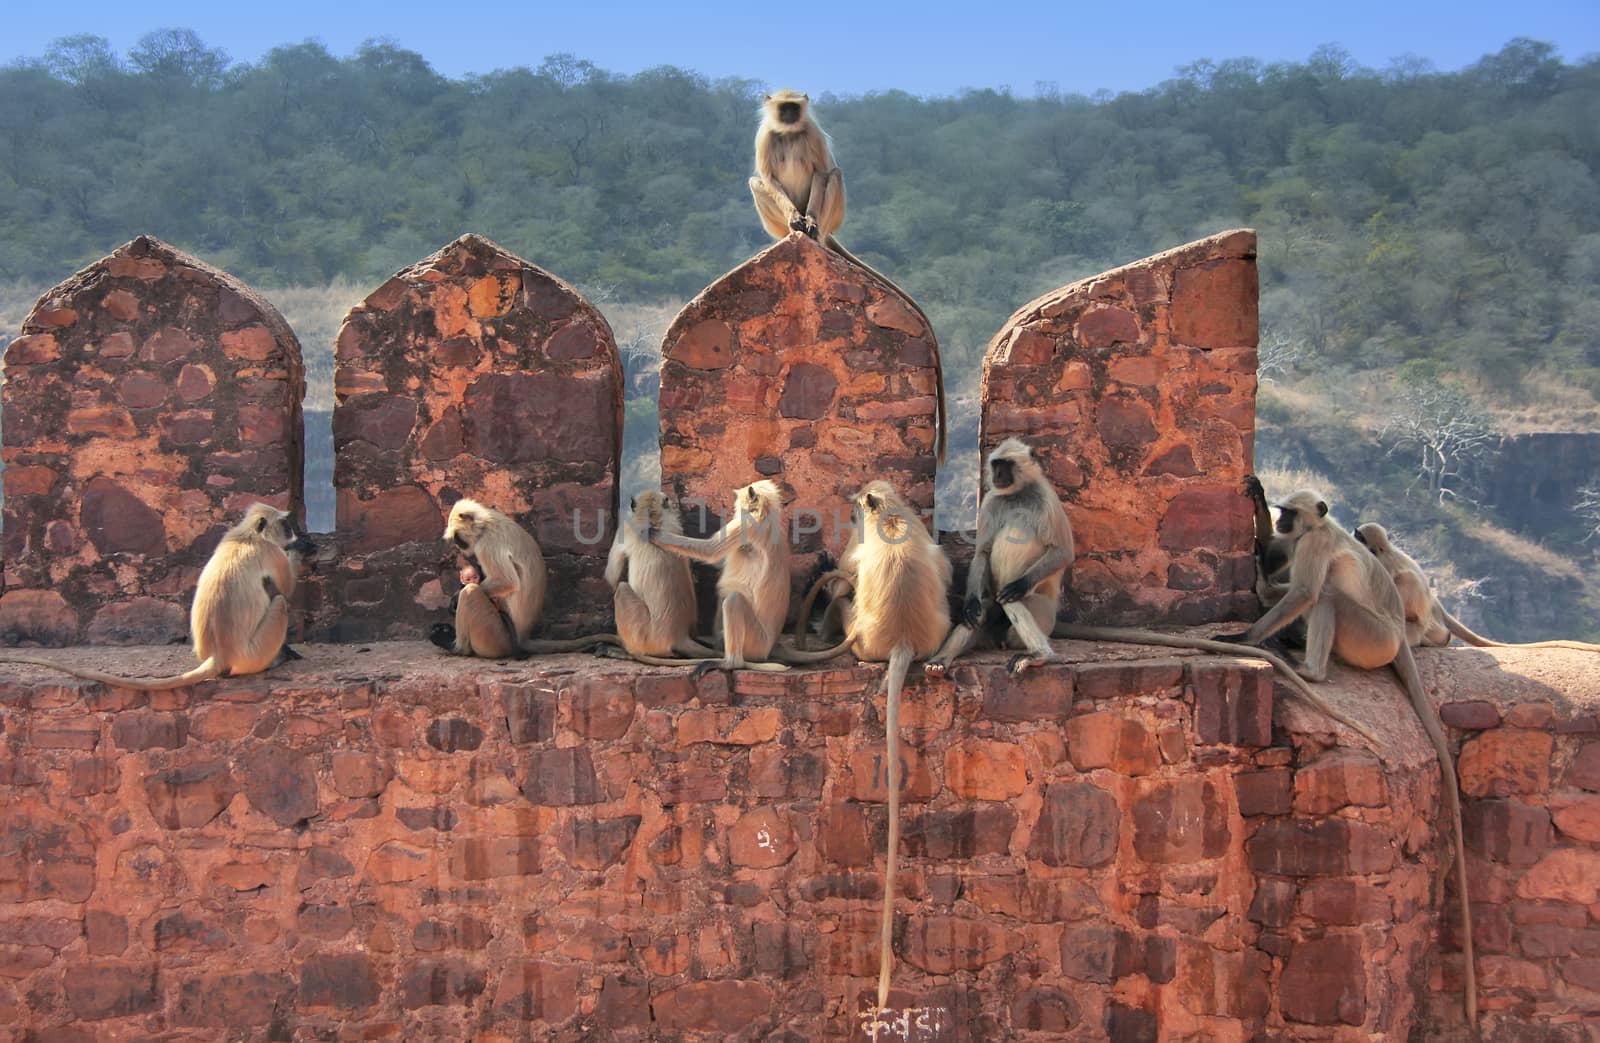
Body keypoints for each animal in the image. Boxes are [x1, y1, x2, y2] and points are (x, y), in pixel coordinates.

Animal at [0, 502, 315, 687]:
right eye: (286, 525)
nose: (294, 533)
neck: (248, 537)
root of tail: (219, 656)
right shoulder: (270, 552)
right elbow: (286, 588)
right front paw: (300, 548)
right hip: (254, 653)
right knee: (279, 601)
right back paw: (278, 657)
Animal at [745, 89, 940, 460]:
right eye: (783, 108)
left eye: (794, 108)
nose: (789, 115)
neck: (789, 133)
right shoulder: (765, 137)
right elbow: (769, 179)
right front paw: (795, 218)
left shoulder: (811, 133)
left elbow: (822, 172)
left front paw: (808, 219)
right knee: (756, 182)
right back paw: (793, 231)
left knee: (833, 173)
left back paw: (814, 232)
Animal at [921, 438, 1068, 675]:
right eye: (996, 464)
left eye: (1007, 465)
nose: (998, 475)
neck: (1017, 494)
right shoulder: (992, 499)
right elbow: (983, 552)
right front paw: (970, 604)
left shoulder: (1046, 498)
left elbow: (1064, 551)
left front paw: (1019, 585)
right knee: (982, 612)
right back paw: (940, 660)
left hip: (1043, 614)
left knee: (1010, 598)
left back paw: (1038, 655)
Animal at [1356, 521, 1600, 652]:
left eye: (1359, 536)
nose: (1353, 534)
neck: (1384, 552)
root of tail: (1437, 609)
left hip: (1420, 628)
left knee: (1407, 580)